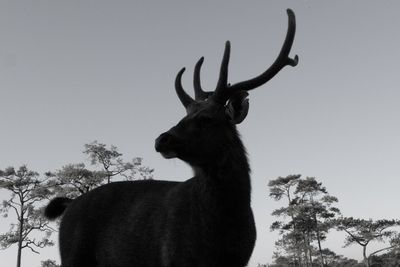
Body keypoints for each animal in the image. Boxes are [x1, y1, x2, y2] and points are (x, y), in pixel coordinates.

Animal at [46, 9, 296, 267]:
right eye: (183, 115)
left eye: (206, 118)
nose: (161, 139)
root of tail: (69, 205)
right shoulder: (174, 256)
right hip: (74, 256)